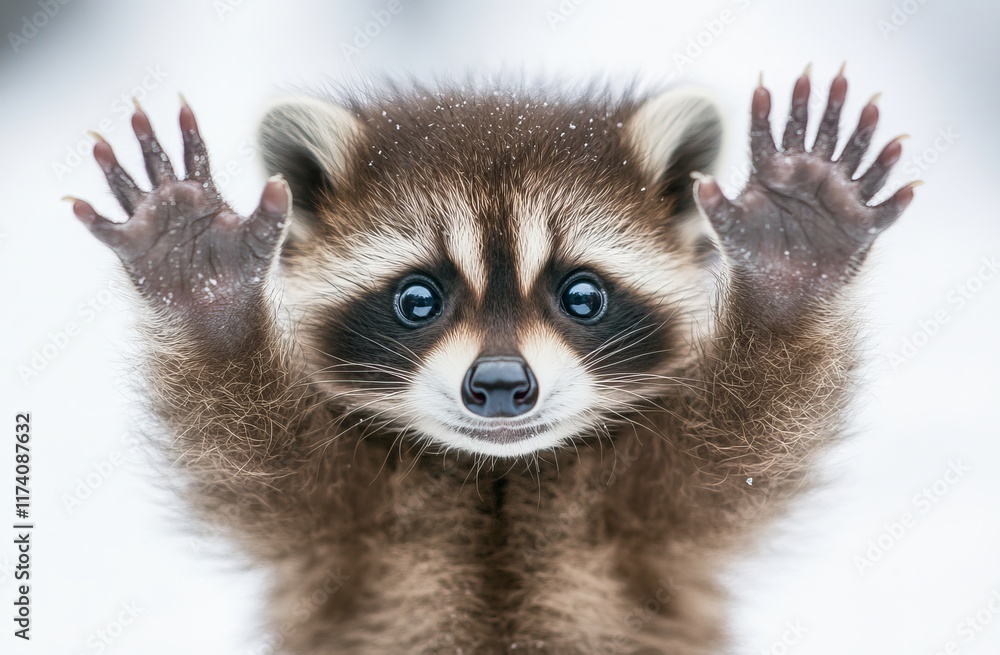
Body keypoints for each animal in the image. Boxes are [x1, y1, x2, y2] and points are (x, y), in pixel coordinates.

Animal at [70, 66, 915, 654]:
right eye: (418, 298)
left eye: (582, 295)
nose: (503, 384)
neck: (497, 478)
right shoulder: (344, 527)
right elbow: (252, 458)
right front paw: (213, 303)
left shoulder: (646, 520)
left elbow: (742, 446)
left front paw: (783, 280)